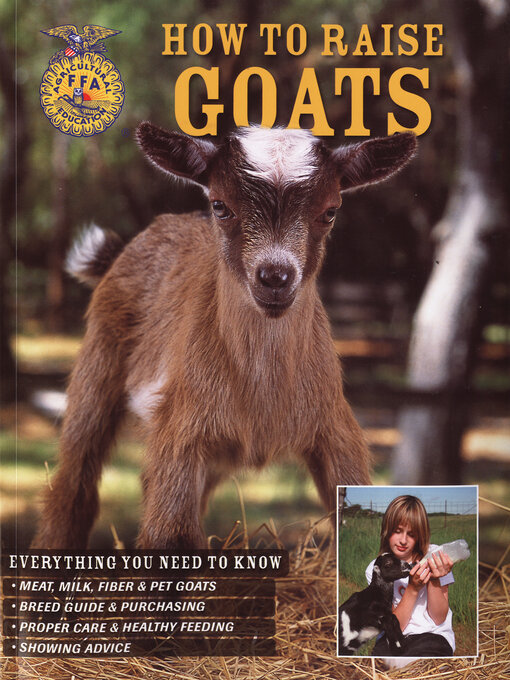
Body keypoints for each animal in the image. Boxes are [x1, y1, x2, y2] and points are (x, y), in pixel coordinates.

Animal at [32, 124, 416, 550]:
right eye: (221, 206)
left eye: (330, 211)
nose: (275, 277)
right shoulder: (183, 428)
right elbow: (170, 536)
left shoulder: (335, 428)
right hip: (98, 366)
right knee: (74, 486)